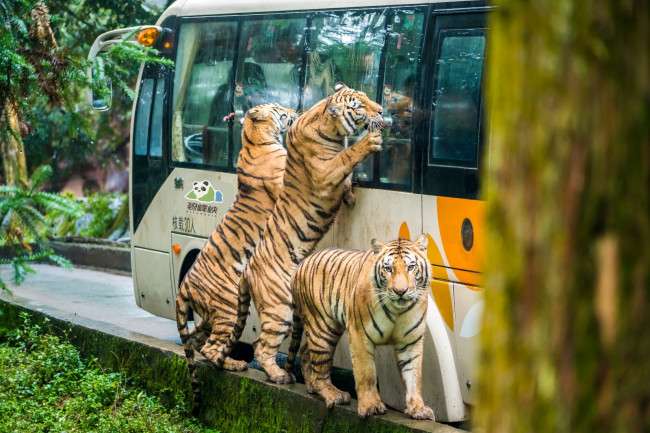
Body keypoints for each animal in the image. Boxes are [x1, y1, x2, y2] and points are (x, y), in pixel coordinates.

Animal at [177, 103, 298, 410]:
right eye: (279, 109)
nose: (295, 111)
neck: (254, 140)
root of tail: (183, 286)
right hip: (228, 307)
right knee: (211, 347)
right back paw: (235, 364)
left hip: (213, 314)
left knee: (197, 341)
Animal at [213, 82, 382, 384]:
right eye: (360, 105)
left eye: (367, 98)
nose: (383, 110)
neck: (334, 130)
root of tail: (247, 271)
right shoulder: (326, 172)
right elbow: (348, 158)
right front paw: (370, 142)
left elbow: (348, 177)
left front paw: (350, 196)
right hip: (280, 308)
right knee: (260, 346)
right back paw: (280, 375)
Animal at [284, 235, 432, 420]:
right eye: (388, 269)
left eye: (411, 267)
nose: (400, 291)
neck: (397, 311)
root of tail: (301, 264)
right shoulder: (359, 334)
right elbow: (366, 373)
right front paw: (371, 406)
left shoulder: (411, 341)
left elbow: (413, 375)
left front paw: (418, 409)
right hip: (323, 328)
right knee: (320, 369)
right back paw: (335, 395)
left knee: (305, 351)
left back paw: (311, 388)